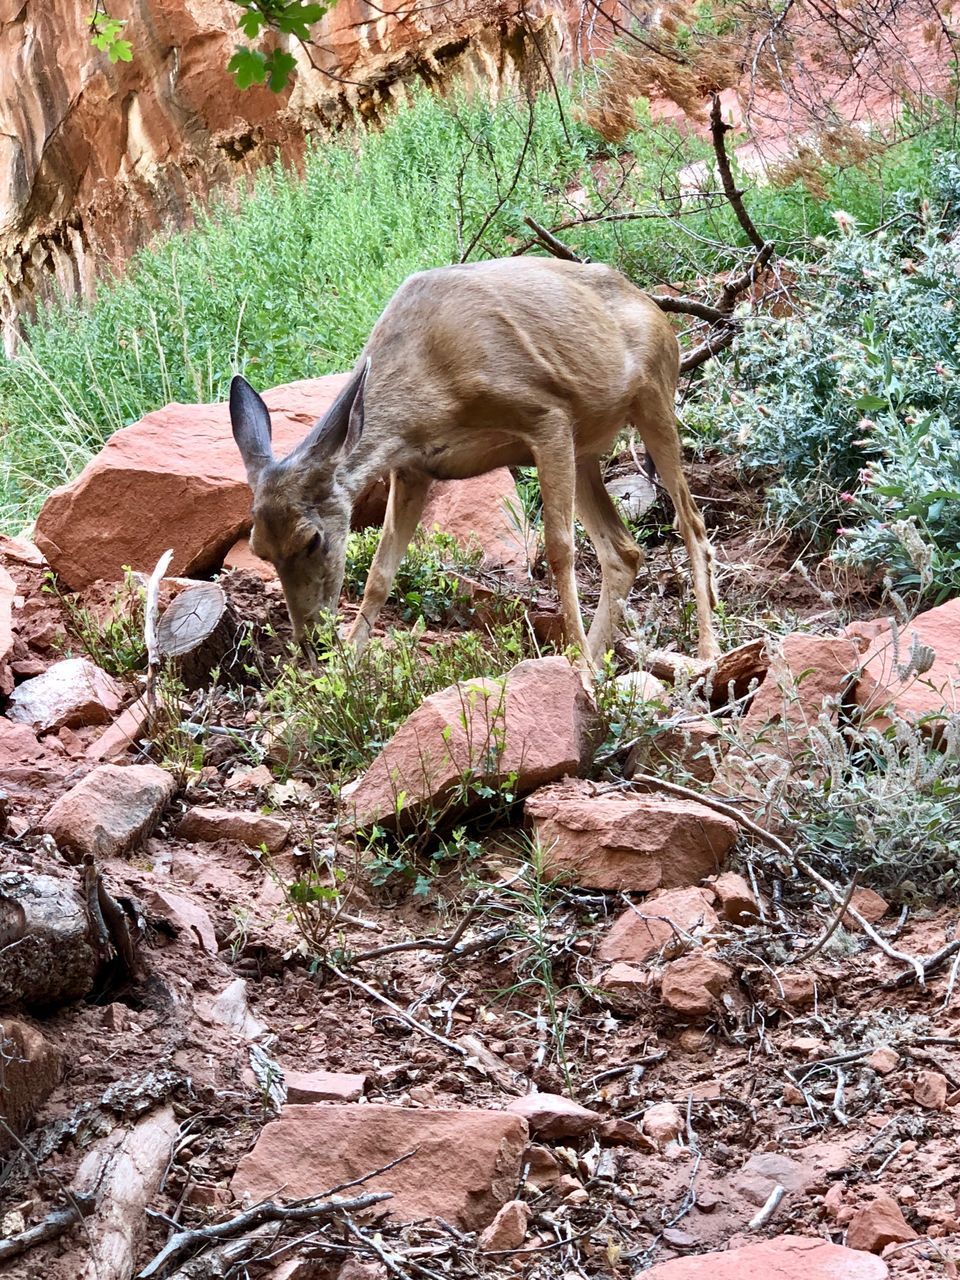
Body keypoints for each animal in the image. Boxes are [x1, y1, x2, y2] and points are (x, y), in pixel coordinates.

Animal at [229, 257, 716, 670]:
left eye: (311, 540)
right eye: (259, 550)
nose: (311, 642)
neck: (430, 382)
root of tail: (655, 309)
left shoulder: (547, 414)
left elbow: (560, 549)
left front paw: (578, 672)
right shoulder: (413, 468)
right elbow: (380, 573)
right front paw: (346, 669)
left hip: (654, 398)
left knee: (691, 522)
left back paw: (704, 655)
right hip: (587, 448)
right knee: (625, 549)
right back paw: (597, 663)